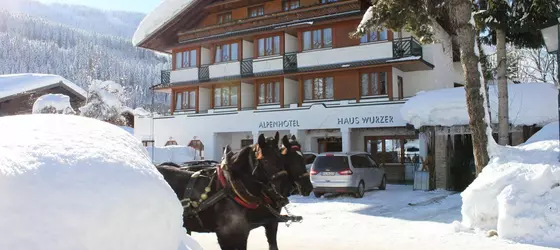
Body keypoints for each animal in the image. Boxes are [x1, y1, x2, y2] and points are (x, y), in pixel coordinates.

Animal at [155, 132, 290, 249]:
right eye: (265, 161)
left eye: (282, 159)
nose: (284, 187)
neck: (233, 190)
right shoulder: (225, 236)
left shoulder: (243, 233)